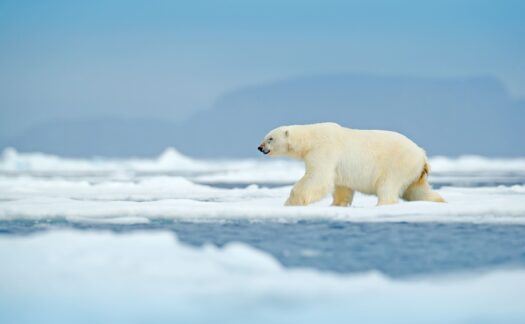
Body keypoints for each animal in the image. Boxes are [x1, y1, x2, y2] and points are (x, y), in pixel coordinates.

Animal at [256, 123, 442, 206]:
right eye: (265, 137)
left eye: (270, 138)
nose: (260, 147)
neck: (310, 138)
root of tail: (422, 155)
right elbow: (341, 186)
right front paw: (337, 204)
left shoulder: (324, 150)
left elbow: (318, 178)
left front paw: (291, 202)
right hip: (415, 173)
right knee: (418, 191)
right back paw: (438, 201)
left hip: (398, 164)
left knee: (388, 185)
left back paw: (383, 204)